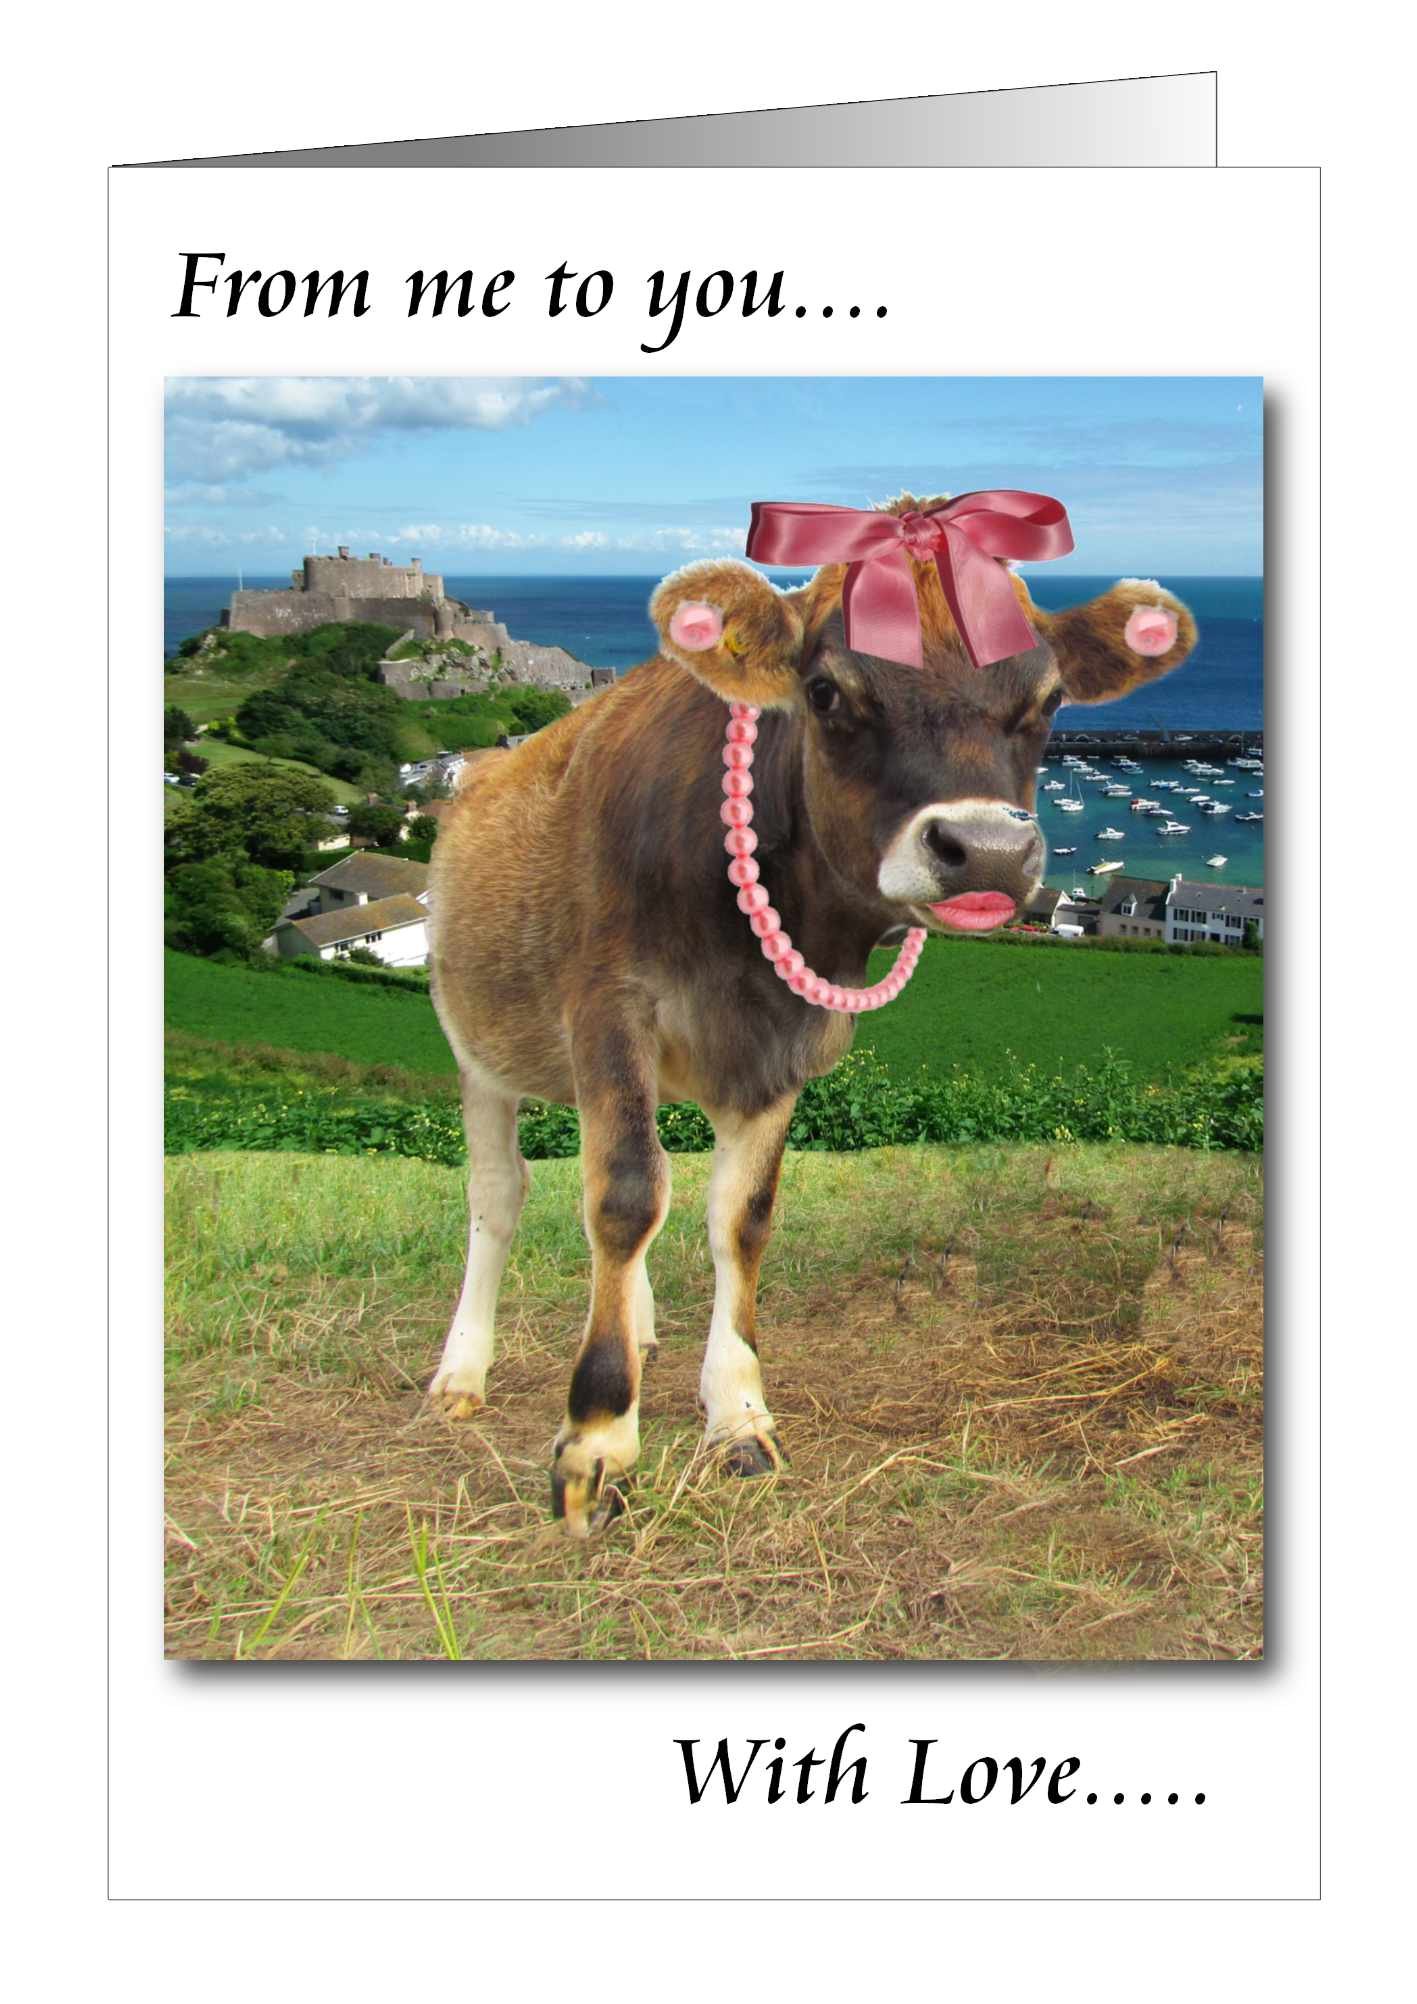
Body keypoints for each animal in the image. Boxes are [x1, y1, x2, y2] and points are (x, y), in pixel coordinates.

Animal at [425, 495, 1196, 1534]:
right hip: (478, 1046)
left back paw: (640, 1328)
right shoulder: (607, 1007)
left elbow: (739, 1219)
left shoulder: (783, 1044)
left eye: (1048, 702)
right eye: (827, 692)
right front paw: (597, 1436)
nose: (988, 854)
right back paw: (462, 1371)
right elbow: (622, 1196)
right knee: (499, 1196)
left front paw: (736, 1414)